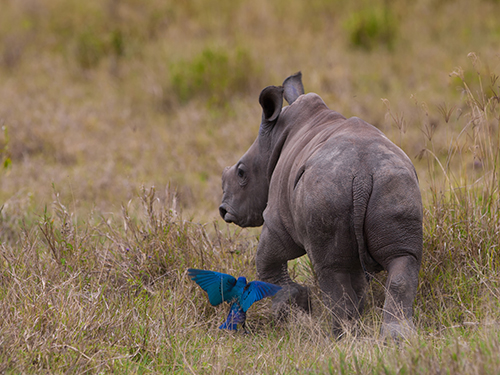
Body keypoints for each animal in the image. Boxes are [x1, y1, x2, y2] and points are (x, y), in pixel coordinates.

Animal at [219, 72, 422, 340]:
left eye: (241, 172)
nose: (224, 210)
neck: (273, 139)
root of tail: (363, 174)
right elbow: (358, 280)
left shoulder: (277, 221)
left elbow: (266, 259)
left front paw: (291, 307)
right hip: (394, 184)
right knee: (403, 258)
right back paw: (395, 339)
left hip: (327, 190)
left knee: (330, 269)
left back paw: (339, 337)